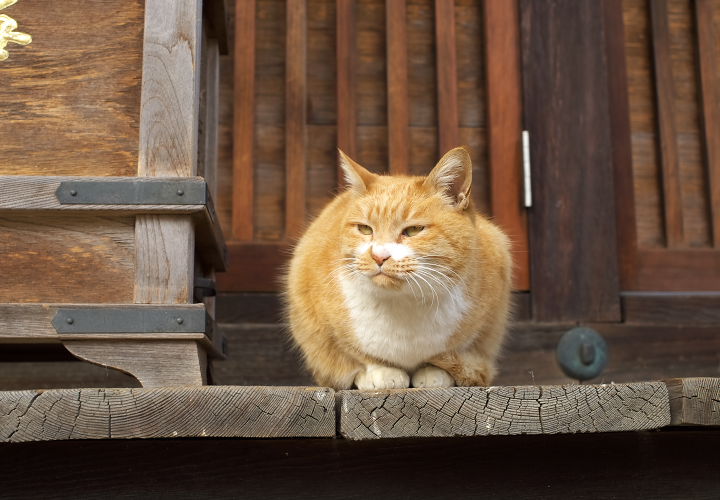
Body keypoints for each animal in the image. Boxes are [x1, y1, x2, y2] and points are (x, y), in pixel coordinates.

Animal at [286, 147, 512, 390]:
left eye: (413, 230)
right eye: (365, 229)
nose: (378, 255)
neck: (402, 302)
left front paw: (434, 372)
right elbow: (356, 353)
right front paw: (380, 372)